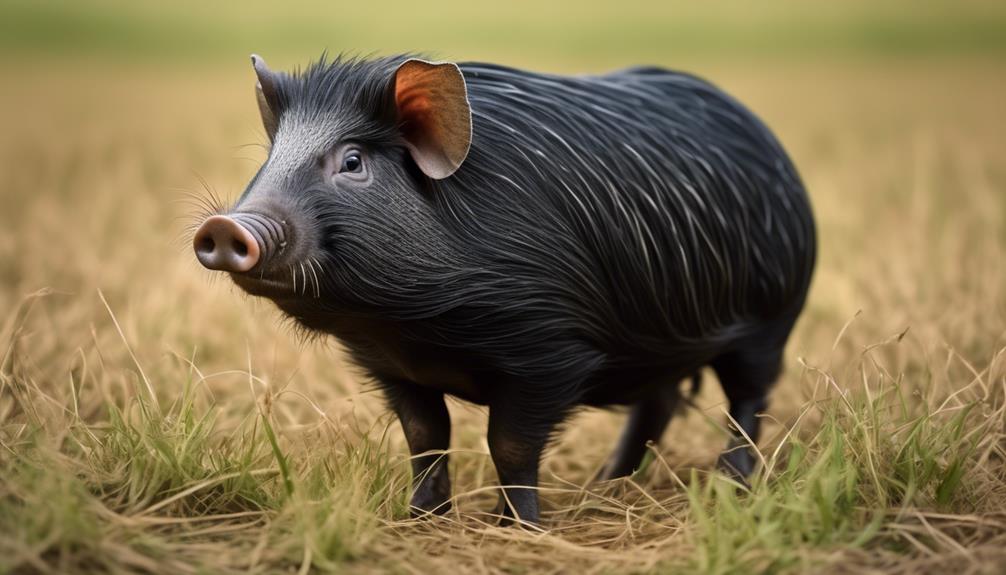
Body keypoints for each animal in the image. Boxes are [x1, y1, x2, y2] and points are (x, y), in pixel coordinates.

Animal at [192, 53, 812, 526]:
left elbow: (509, 446)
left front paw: (519, 528)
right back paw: (606, 484)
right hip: (660, 343)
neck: (411, 326)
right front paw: (419, 520)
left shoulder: (550, 352)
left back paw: (730, 488)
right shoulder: (391, 365)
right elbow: (426, 438)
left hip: (772, 317)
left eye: (352, 161)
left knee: (748, 402)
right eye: (270, 158)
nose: (226, 226)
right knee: (656, 405)